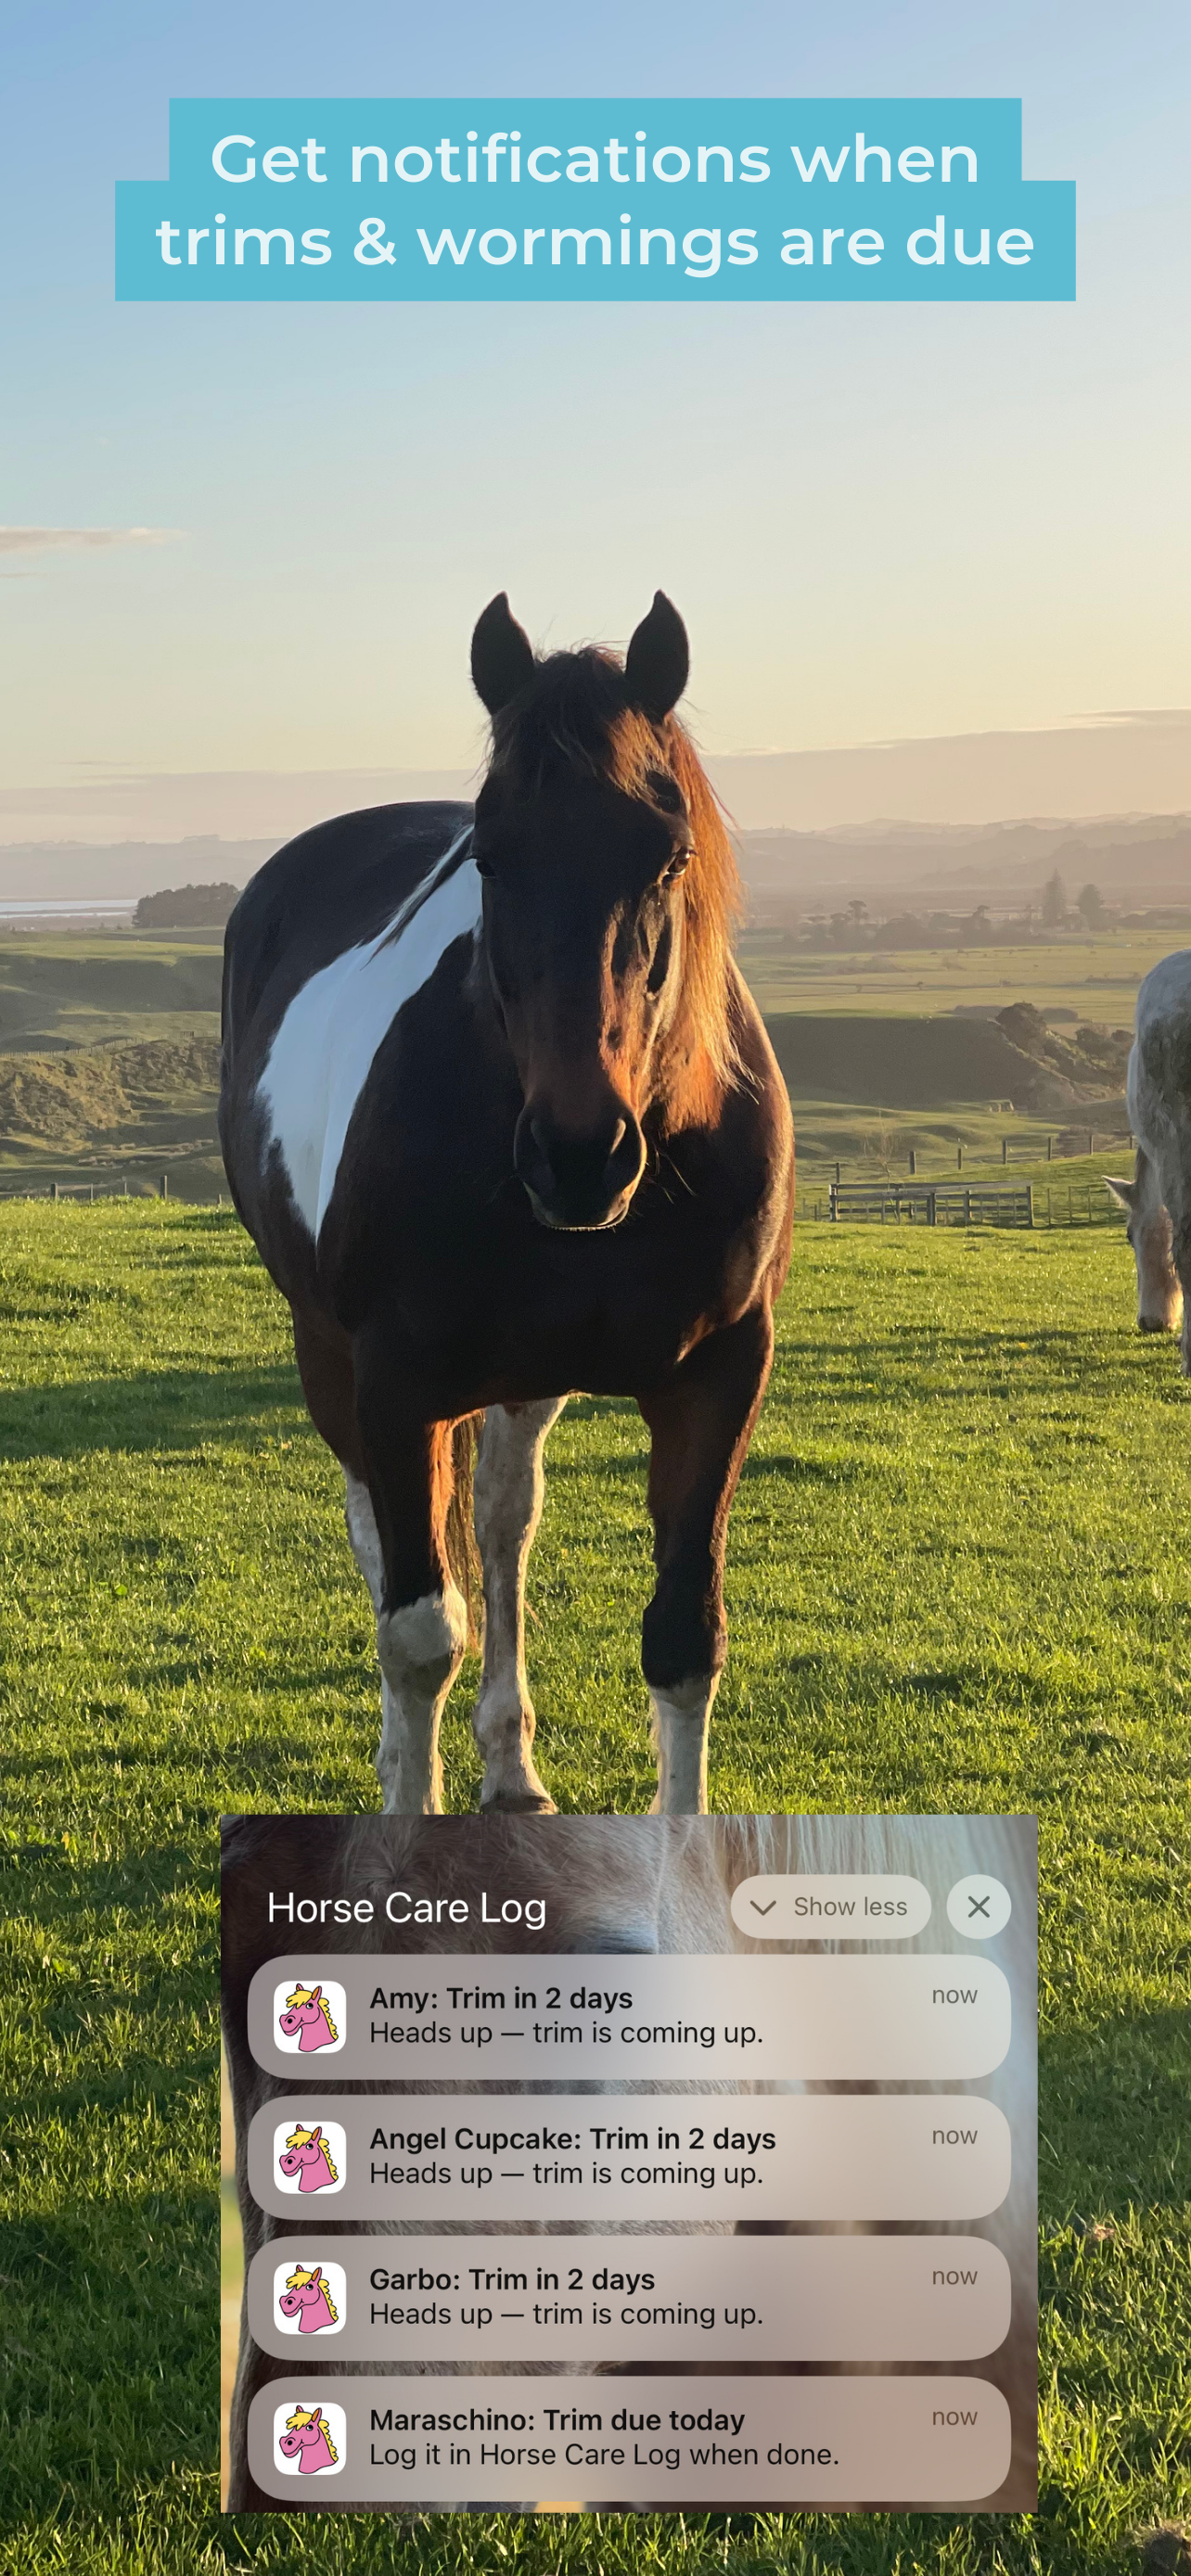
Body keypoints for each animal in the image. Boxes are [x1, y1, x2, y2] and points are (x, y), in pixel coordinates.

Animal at [218, 593, 794, 1817]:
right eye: (488, 856)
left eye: (670, 853)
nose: (580, 1156)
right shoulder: (393, 1386)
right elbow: (417, 1633)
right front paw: (407, 1805)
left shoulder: (720, 1376)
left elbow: (684, 1637)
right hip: (330, 1353)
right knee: (391, 1557)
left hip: (521, 1381)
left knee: (499, 1527)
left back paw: (513, 1768)